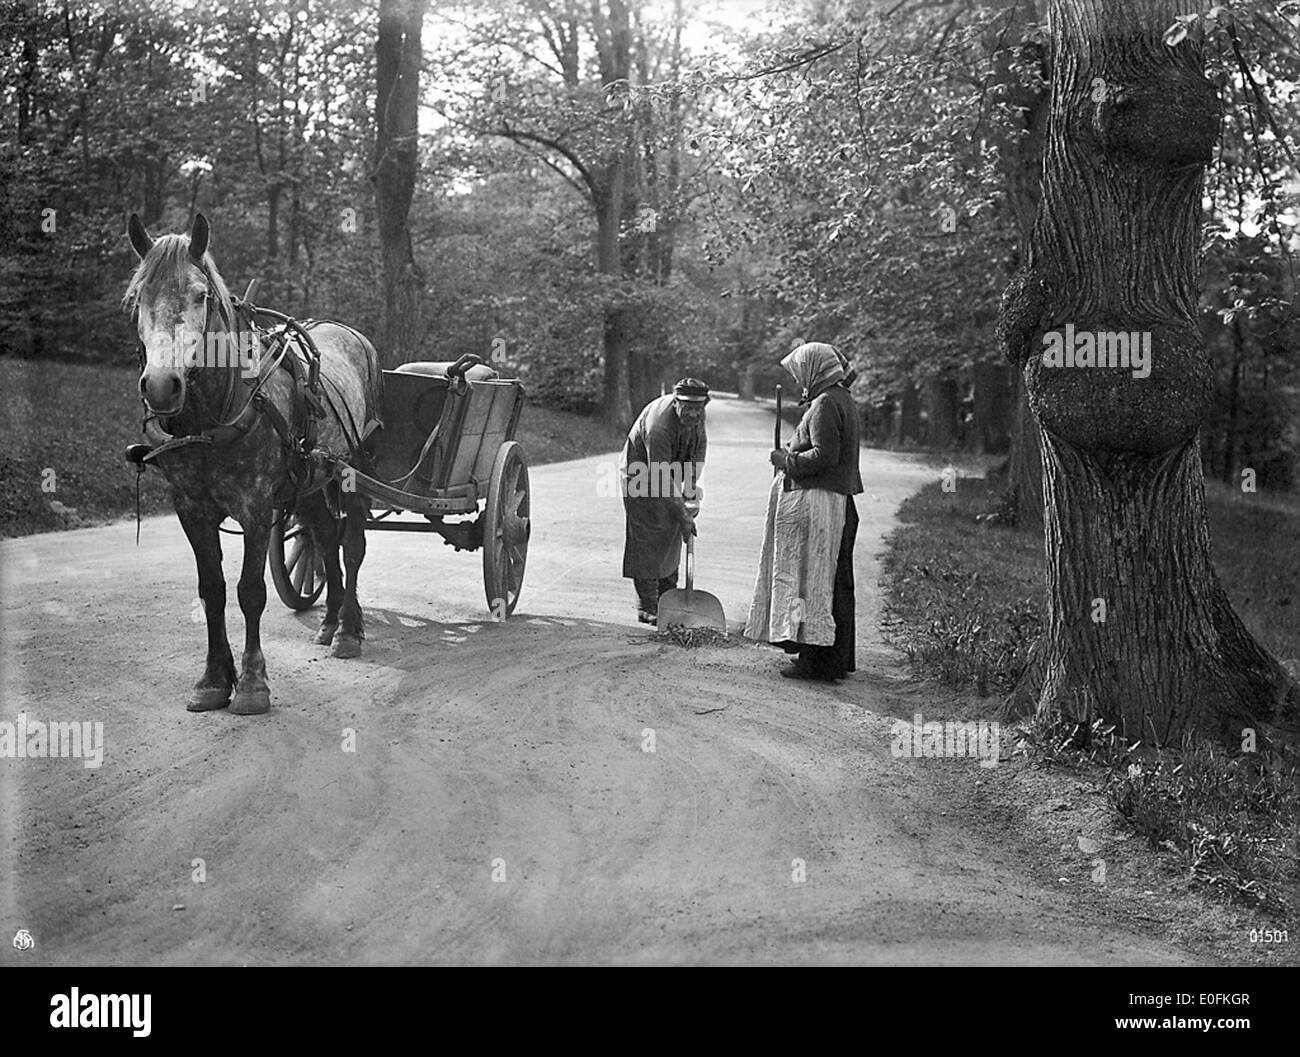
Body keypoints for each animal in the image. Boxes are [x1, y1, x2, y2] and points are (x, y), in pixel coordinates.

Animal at [124, 210, 379, 712]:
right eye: (138, 297)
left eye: (200, 295)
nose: (162, 385)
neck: (214, 416)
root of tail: (352, 334)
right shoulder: (191, 509)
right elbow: (212, 590)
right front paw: (214, 678)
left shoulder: (257, 507)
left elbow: (250, 592)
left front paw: (253, 682)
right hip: (313, 480)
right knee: (324, 540)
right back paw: (329, 622)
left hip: (352, 473)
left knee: (352, 547)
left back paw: (348, 629)